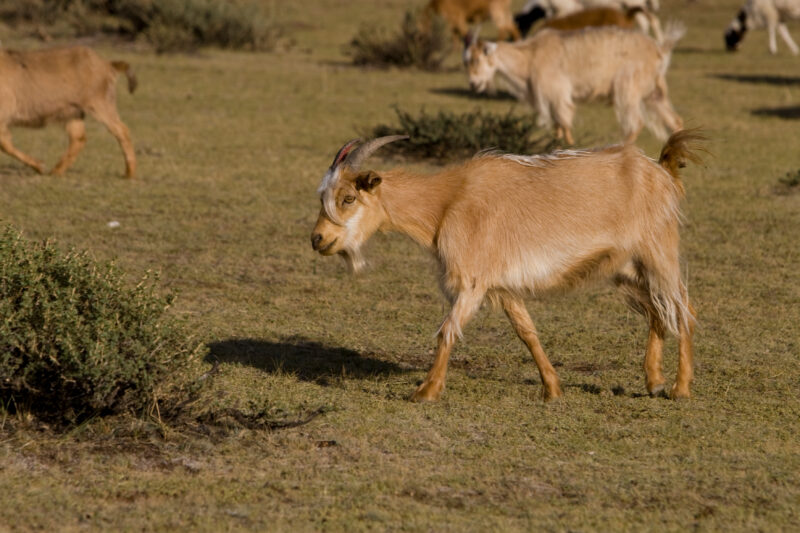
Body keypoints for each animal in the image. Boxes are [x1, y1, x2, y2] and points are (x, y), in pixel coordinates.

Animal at [0, 45, 137, 178]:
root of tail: (108, 65)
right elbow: (5, 145)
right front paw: (40, 166)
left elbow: (4, 144)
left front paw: (40, 166)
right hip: (73, 113)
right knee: (78, 138)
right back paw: (56, 171)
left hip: (100, 105)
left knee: (122, 131)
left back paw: (129, 173)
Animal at [310, 131, 704, 402]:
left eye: (348, 198)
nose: (318, 239)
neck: (446, 203)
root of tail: (661, 171)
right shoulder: (502, 286)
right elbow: (527, 332)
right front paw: (552, 389)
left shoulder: (471, 282)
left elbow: (447, 331)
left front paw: (426, 391)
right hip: (626, 268)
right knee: (657, 309)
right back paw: (653, 381)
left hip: (658, 252)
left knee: (683, 306)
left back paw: (680, 388)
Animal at [463, 24, 685, 145]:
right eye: (466, 61)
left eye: (478, 59)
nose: (473, 84)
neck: (530, 56)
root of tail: (659, 49)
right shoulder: (551, 97)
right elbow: (557, 125)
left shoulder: (556, 91)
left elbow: (564, 121)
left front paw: (569, 146)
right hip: (654, 92)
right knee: (675, 121)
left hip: (629, 87)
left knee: (636, 123)